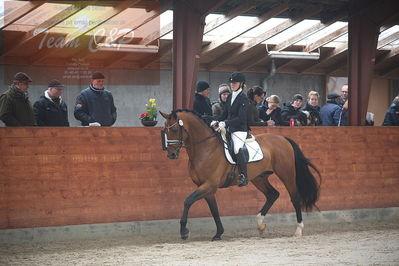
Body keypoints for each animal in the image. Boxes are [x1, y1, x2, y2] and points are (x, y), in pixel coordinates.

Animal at [161, 109, 320, 241]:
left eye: (174, 129)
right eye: (165, 131)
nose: (171, 155)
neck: (205, 149)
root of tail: (283, 139)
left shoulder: (209, 184)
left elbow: (187, 201)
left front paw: (184, 231)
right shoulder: (207, 188)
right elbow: (214, 210)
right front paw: (218, 233)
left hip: (286, 174)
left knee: (295, 198)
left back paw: (298, 230)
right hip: (259, 178)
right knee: (273, 194)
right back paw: (260, 224)